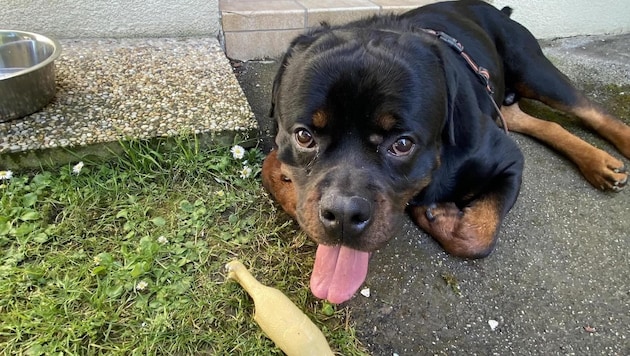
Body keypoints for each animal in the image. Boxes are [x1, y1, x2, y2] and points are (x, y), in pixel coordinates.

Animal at [260, 0, 628, 304]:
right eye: (304, 136)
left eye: (402, 144)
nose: (343, 215)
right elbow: (269, 169)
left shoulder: (507, 158)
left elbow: (477, 236)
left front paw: (440, 215)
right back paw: (599, 163)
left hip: (532, 67)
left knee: (589, 109)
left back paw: (610, 155)